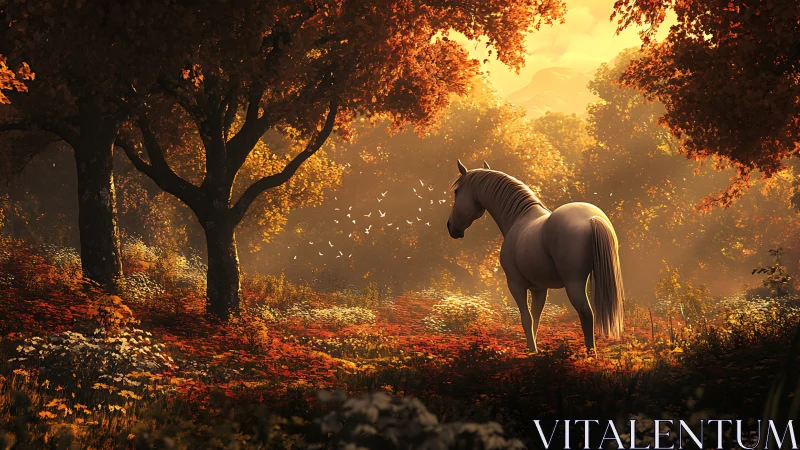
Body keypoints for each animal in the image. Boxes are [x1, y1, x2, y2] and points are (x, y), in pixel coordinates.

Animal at [446, 160, 625, 353]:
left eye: (457, 191)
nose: (450, 227)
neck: (519, 218)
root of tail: (592, 218)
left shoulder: (516, 284)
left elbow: (526, 318)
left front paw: (532, 351)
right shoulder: (539, 289)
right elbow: (536, 318)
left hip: (574, 283)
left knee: (586, 314)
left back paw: (590, 354)